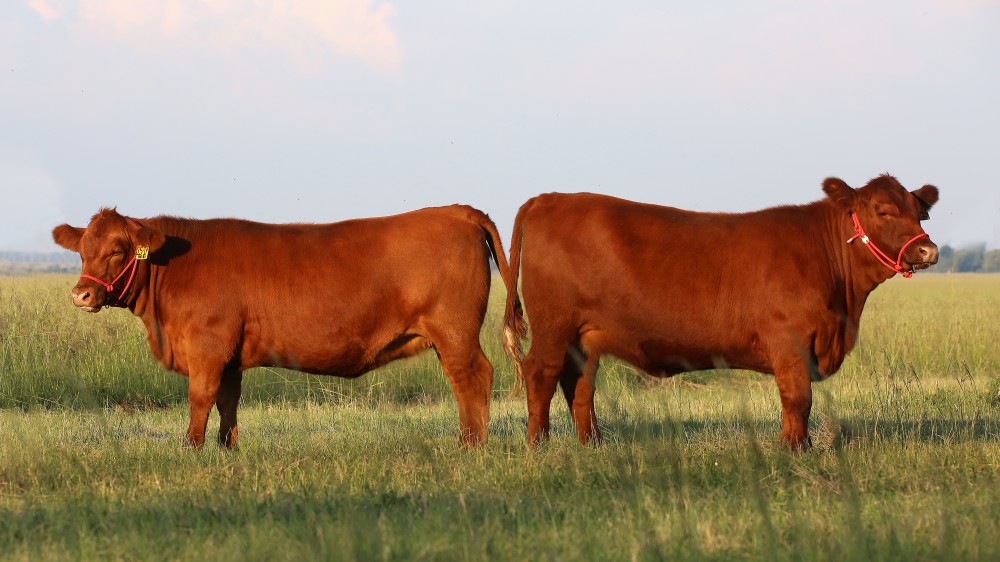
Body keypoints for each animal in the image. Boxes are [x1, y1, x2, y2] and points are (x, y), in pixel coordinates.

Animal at [53, 205, 514, 449]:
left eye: (117, 250)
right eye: (82, 249)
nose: (80, 295)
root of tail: (457, 211)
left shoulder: (207, 348)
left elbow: (199, 400)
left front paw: (191, 449)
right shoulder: (230, 357)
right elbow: (228, 404)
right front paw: (226, 450)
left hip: (455, 333)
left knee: (473, 377)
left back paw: (471, 446)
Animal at [501, 174, 939, 449]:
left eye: (921, 212)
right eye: (883, 210)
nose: (927, 250)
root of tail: (549, 198)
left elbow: (794, 402)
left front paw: (797, 447)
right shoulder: (790, 343)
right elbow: (798, 399)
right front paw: (797, 450)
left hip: (584, 337)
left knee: (579, 385)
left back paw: (592, 446)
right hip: (553, 327)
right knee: (540, 374)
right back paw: (539, 446)